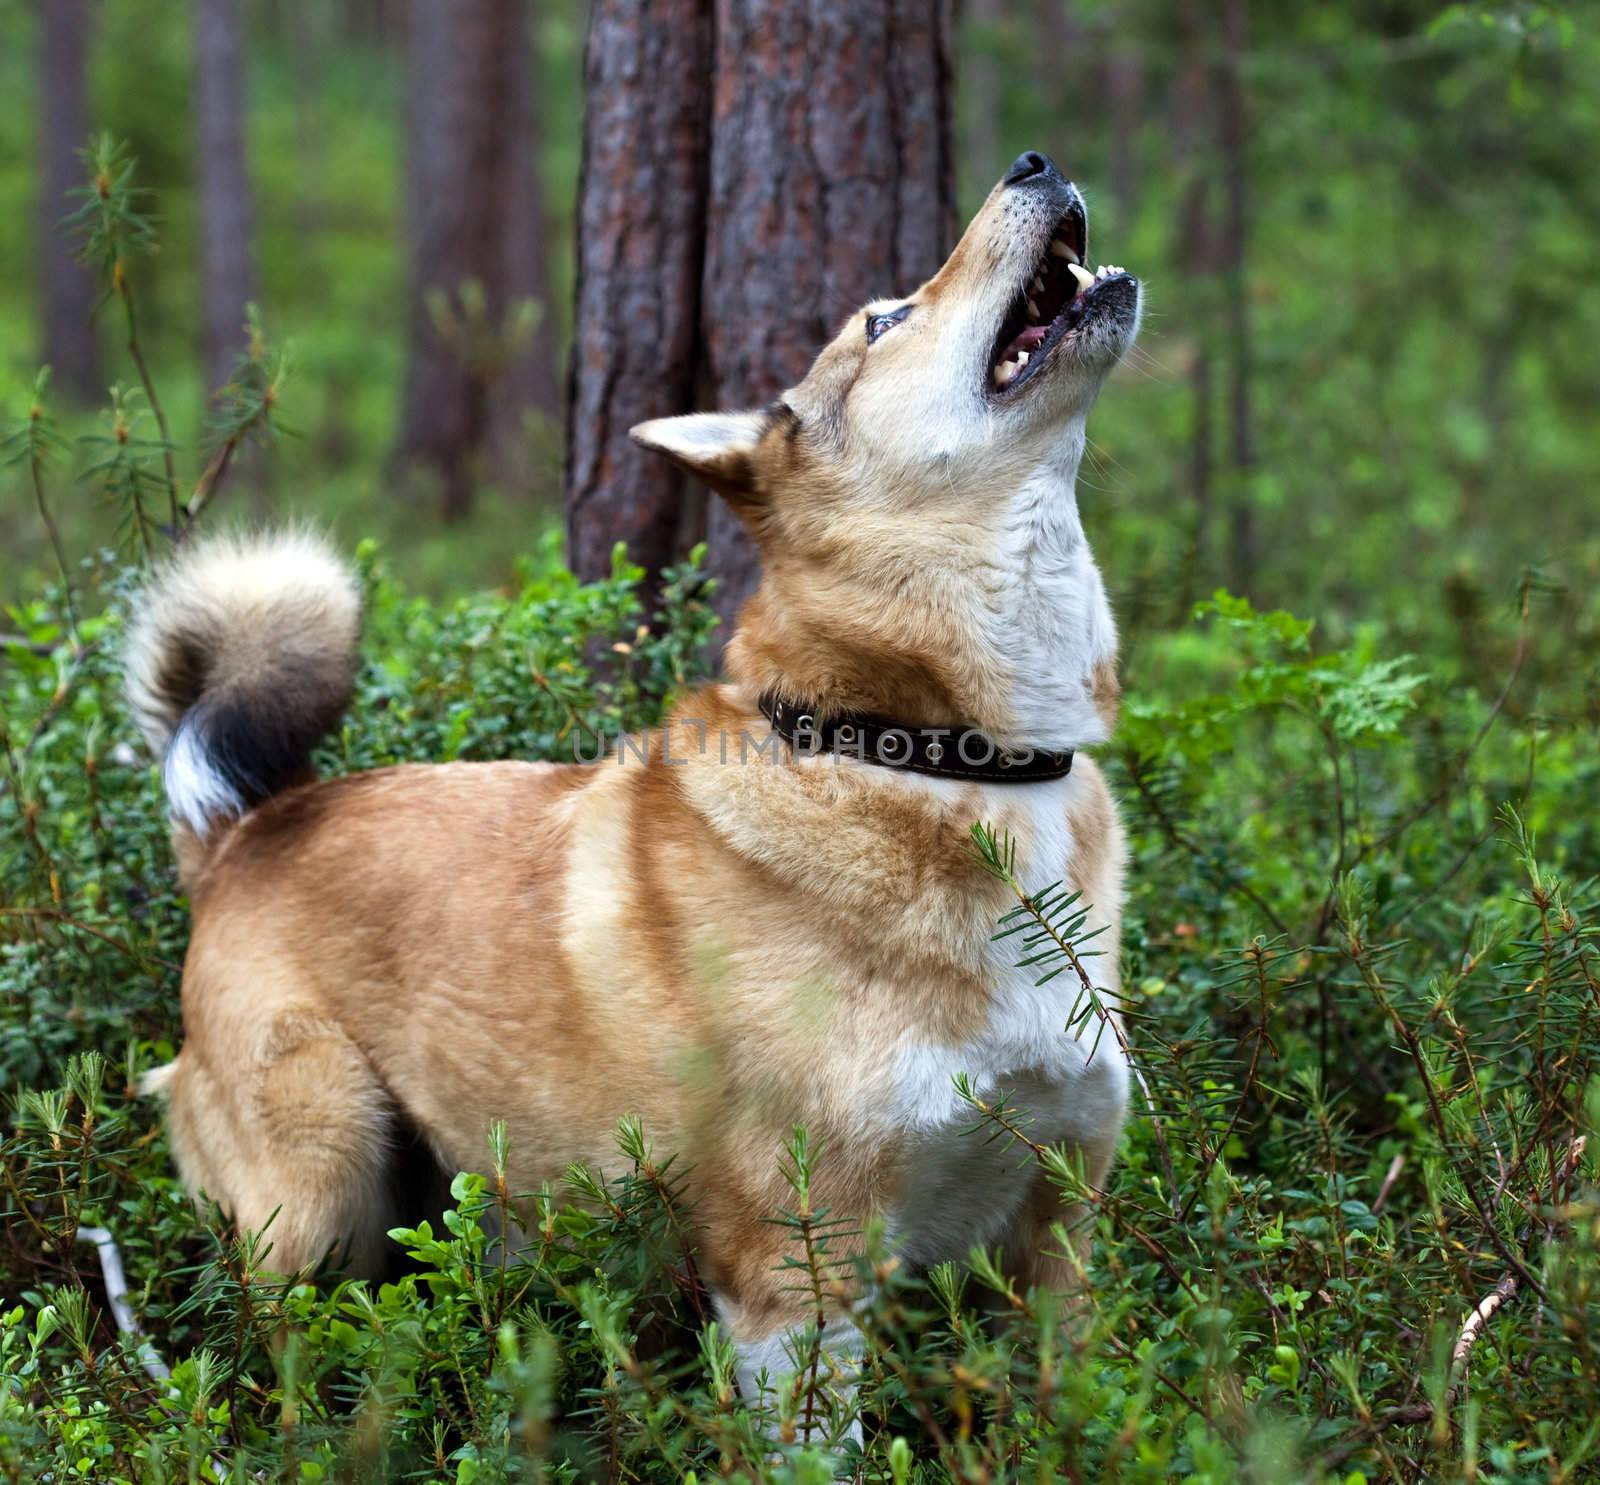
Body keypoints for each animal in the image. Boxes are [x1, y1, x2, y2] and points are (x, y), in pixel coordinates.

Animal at [131, 153, 1145, 1427]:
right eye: (882, 321)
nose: (1032, 163)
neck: (921, 750)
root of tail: (240, 829)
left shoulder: (1059, 1240)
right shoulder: (796, 1275)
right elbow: (818, 1437)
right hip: (319, 1188)